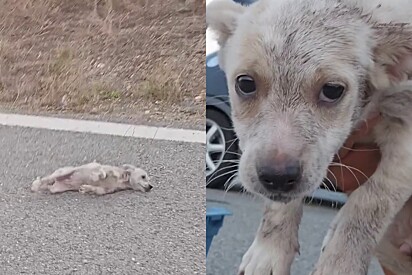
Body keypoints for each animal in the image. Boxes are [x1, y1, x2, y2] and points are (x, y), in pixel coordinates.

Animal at [209, 0, 412, 274]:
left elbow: (370, 204)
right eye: (246, 83)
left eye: (333, 90)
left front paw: (339, 266)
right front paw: (268, 255)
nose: (277, 177)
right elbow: (278, 207)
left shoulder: (405, 129)